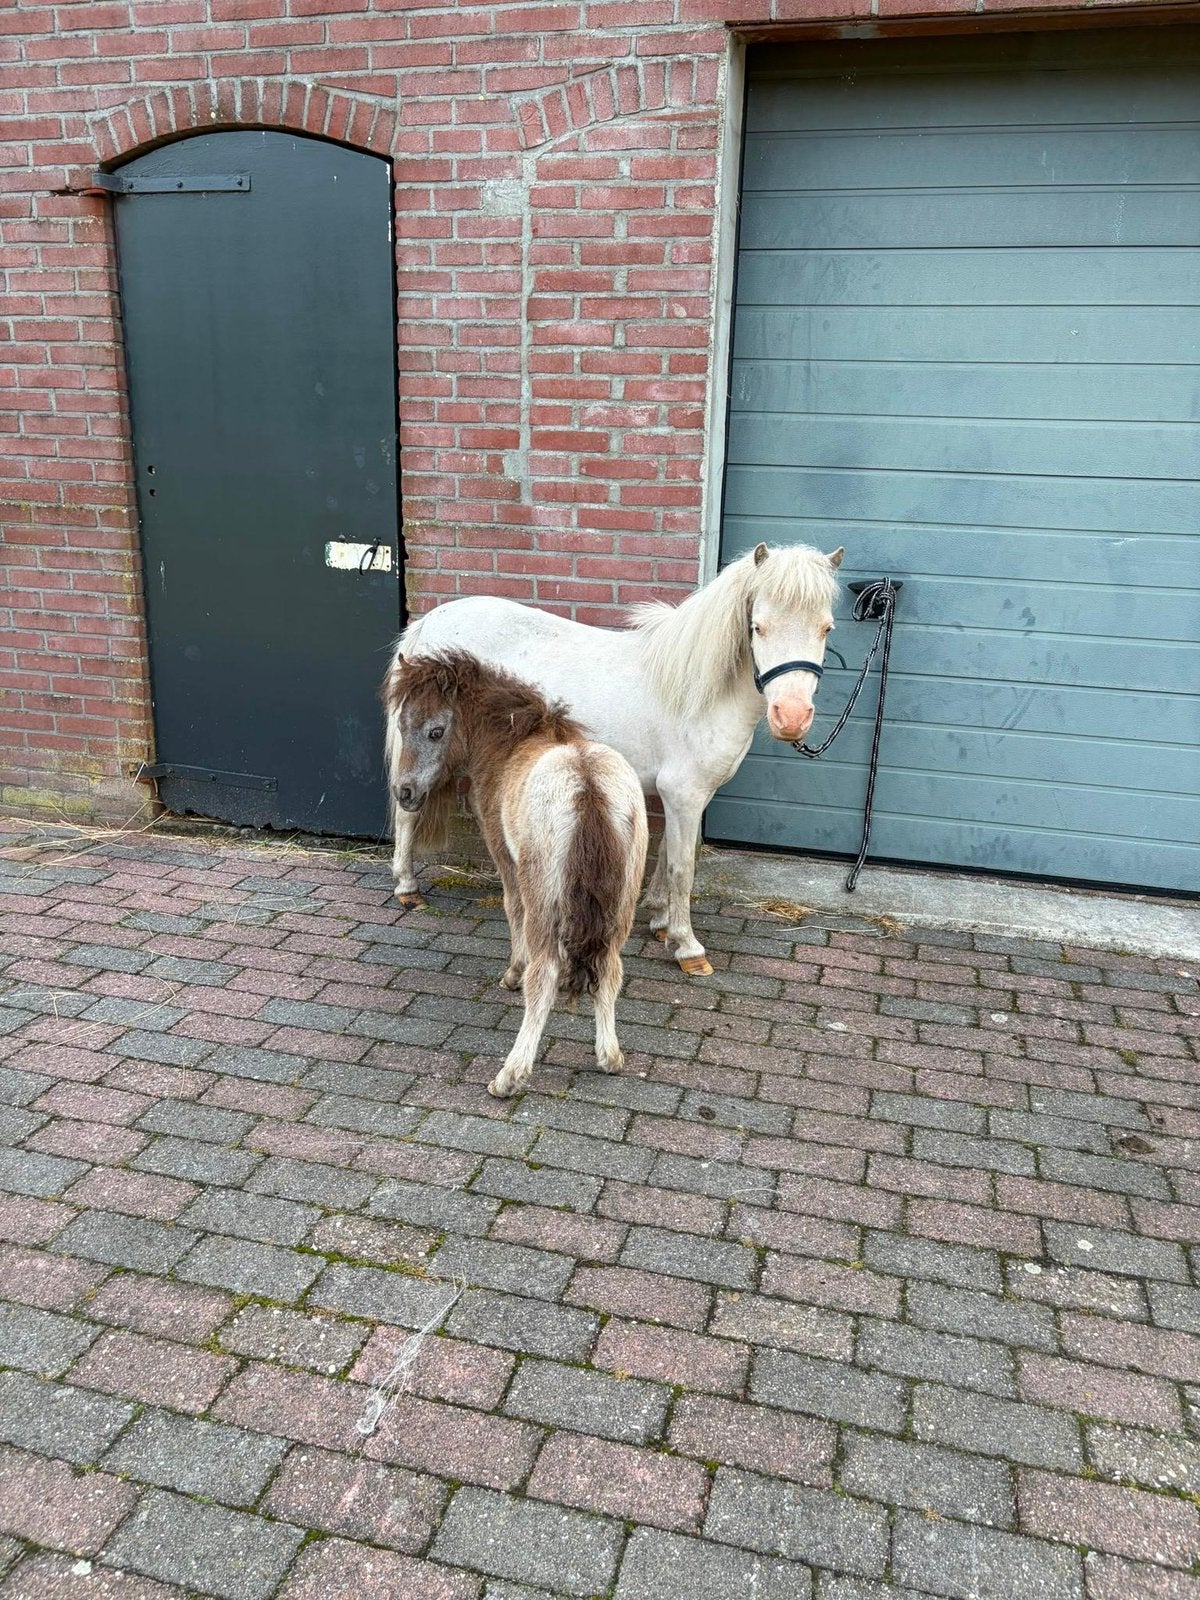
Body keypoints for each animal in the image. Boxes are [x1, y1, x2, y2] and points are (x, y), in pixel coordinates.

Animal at [382, 649, 649, 1099]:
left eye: (436, 731)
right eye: (401, 724)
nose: (405, 792)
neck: (512, 746)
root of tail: (587, 785)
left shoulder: (506, 858)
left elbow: (512, 910)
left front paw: (512, 973)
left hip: (546, 896)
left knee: (545, 974)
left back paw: (510, 1074)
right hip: (622, 900)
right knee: (610, 966)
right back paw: (609, 1057)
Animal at [386, 540, 842, 976]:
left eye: (826, 628)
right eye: (758, 627)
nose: (792, 717)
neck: (697, 690)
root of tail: (430, 621)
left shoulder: (689, 795)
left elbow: (668, 857)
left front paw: (660, 921)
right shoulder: (684, 793)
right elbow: (683, 868)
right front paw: (688, 947)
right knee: (408, 807)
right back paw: (408, 889)